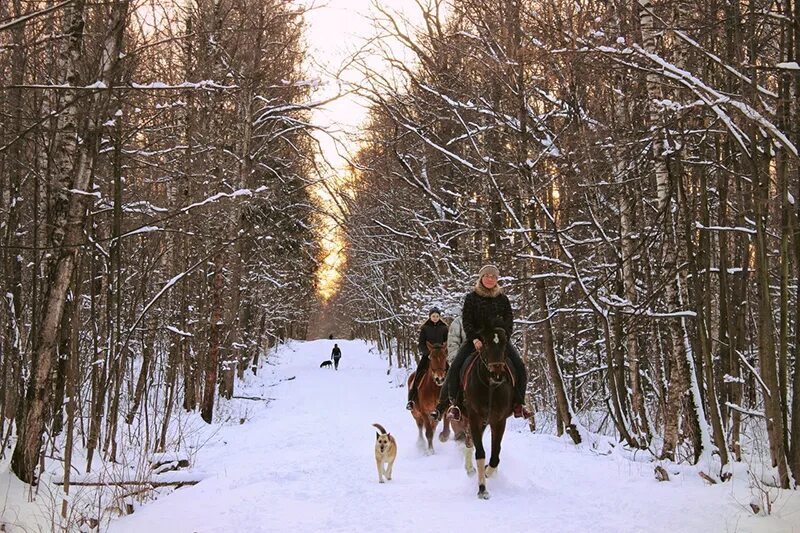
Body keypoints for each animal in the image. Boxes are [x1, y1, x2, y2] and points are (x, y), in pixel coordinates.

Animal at [460, 324, 516, 498]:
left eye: (504, 344)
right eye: (485, 343)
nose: (497, 373)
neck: (490, 386)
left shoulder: (499, 420)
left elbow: (495, 454)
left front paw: (487, 471)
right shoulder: (474, 418)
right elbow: (480, 452)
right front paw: (482, 488)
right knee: (469, 441)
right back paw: (469, 468)